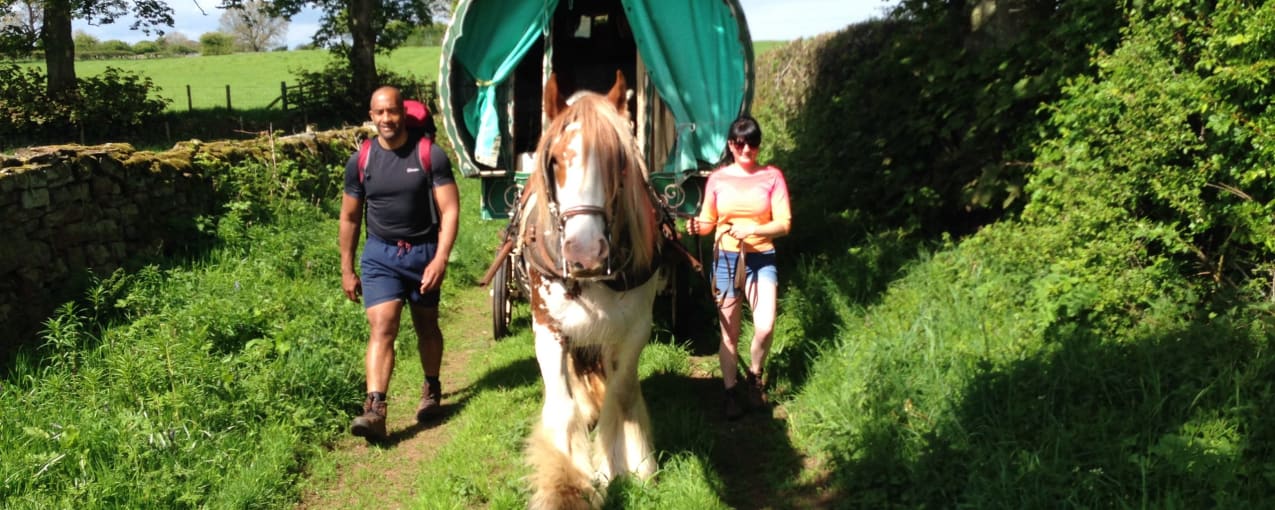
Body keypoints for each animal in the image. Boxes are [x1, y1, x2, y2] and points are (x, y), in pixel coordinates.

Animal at [512, 70, 668, 504]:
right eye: (553, 160)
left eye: (618, 161)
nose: (585, 253)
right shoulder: (547, 330)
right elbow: (562, 406)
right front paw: (568, 484)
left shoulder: (635, 329)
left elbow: (620, 393)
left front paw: (625, 465)